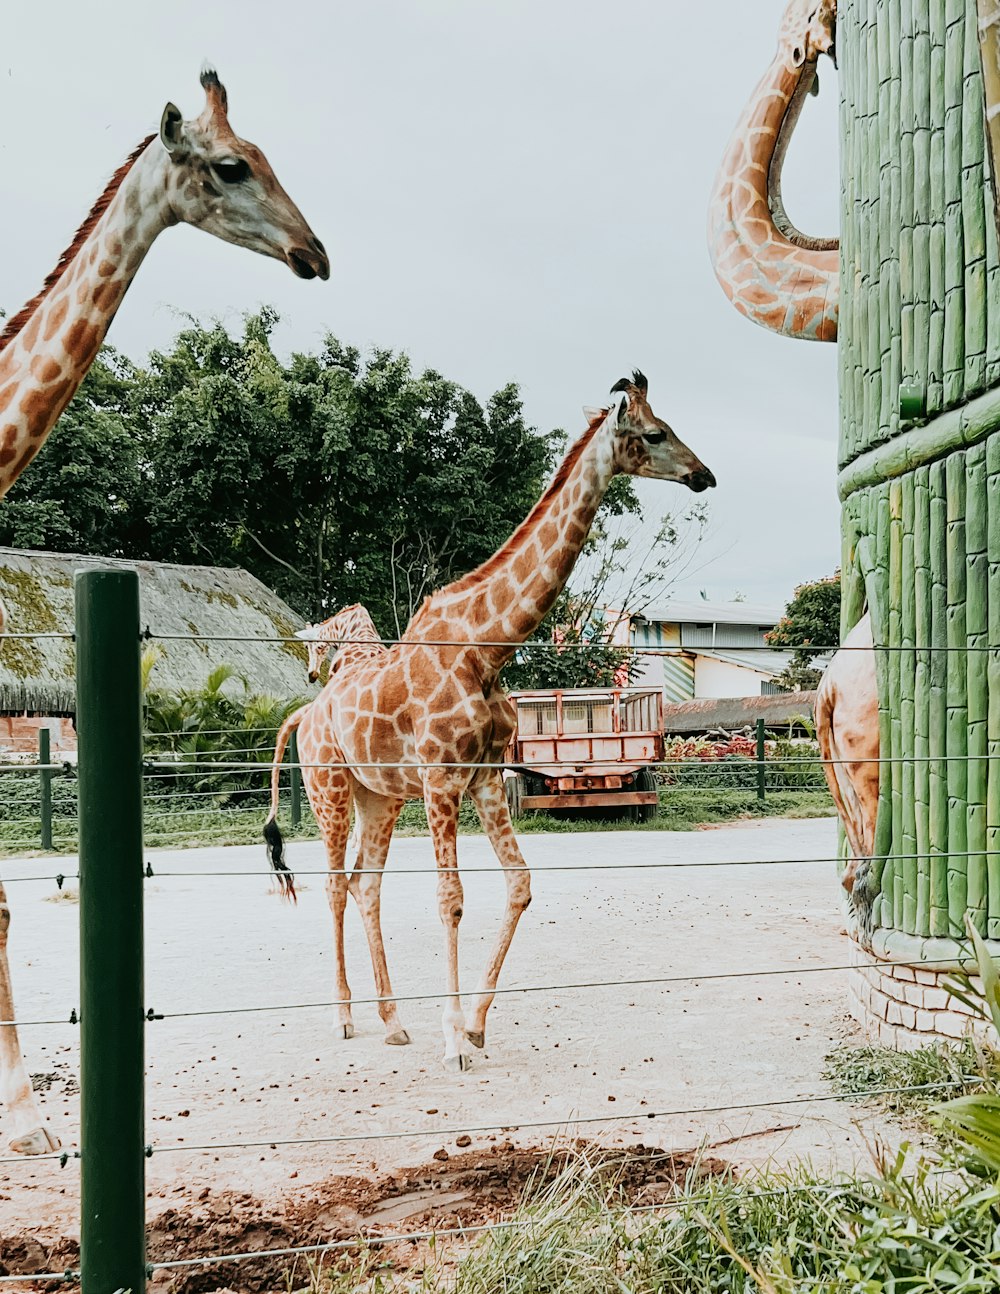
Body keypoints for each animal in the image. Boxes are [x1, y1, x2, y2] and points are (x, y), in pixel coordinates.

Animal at [261, 372, 714, 1071]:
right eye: (656, 433)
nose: (703, 475)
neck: (488, 646)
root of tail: (305, 715)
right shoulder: (441, 780)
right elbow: (450, 899)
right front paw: (454, 1040)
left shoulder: (484, 778)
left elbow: (519, 884)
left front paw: (473, 1023)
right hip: (329, 787)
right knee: (336, 885)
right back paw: (344, 1017)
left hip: (378, 797)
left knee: (366, 885)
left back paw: (394, 1021)